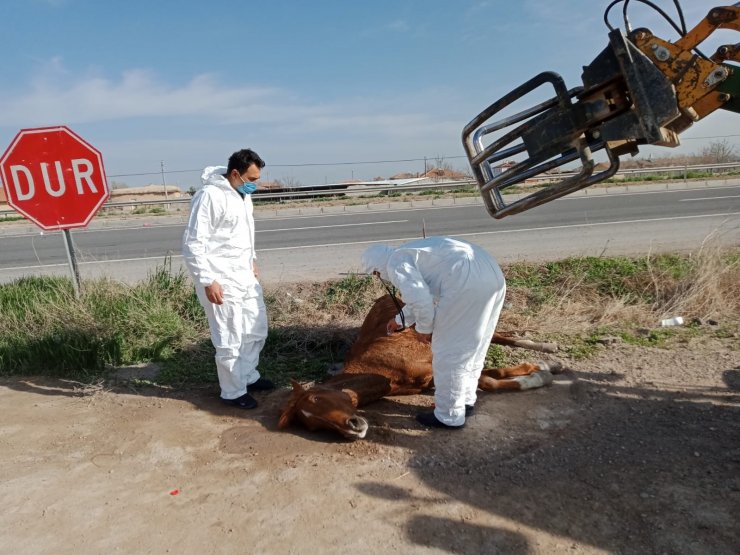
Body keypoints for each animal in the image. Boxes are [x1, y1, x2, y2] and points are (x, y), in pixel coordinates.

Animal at [278, 294, 560, 440]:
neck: (377, 367)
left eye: (316, 397)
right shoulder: (430, 377)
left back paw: (545, 346)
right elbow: (487, 376)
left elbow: (485, 379)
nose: (353, 428)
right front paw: (540, 369)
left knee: (499, 336)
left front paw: (539, 374)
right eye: (313, 426)